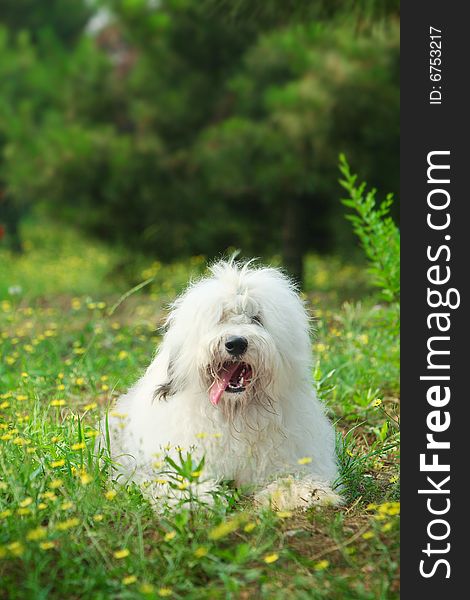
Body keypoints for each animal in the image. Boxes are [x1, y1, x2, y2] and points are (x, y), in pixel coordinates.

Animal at [101, 260, 340, 508]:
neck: (235, 412)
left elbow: (292, 475)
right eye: (219, 318)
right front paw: (198, 496)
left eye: (256, 318)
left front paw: (304, 491)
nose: (236, 343)